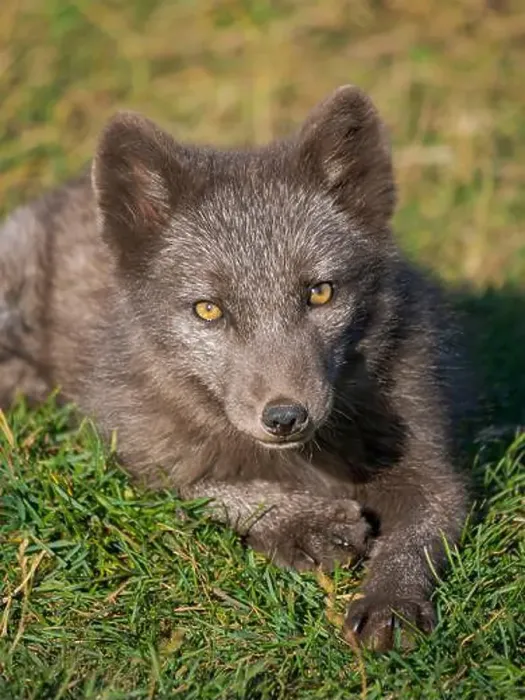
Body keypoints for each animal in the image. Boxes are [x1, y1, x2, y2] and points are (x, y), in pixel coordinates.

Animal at [0, 85, 472, 651]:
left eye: (321, 292)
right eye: (209, 309)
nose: (286, 417)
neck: (304, 463)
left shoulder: (432, 466)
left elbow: (419, 532)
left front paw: (391, 603)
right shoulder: (128, 446)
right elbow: (205, 486)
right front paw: (303, 523)